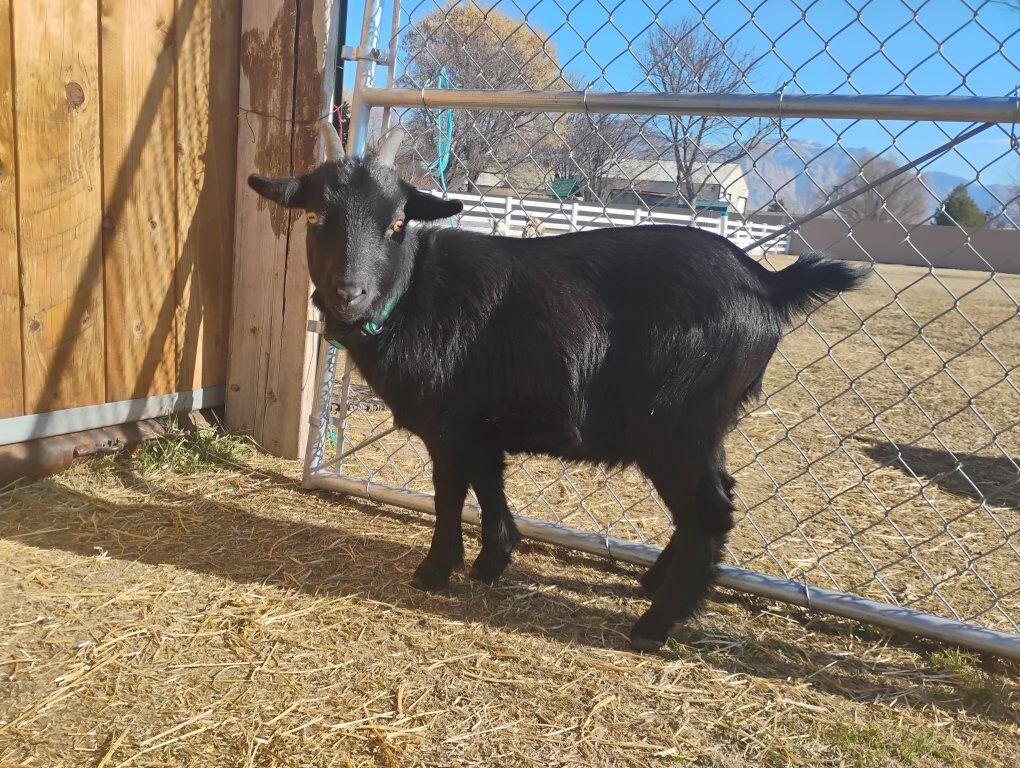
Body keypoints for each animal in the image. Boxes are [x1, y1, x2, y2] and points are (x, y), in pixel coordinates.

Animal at [248, 123, 867, 651]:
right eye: (313, 217)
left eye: (398, 223)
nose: (348, 294)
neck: (416, 293)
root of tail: (768, 282)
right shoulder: (482, 425)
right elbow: (489, 484)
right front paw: (492, 562)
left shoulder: (450, 423)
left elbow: (450, 493)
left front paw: (435, 571)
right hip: (705, 425)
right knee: (717, 495)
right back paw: (654, 584)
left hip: (675, 424)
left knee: (710, 510)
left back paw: (655, 624)